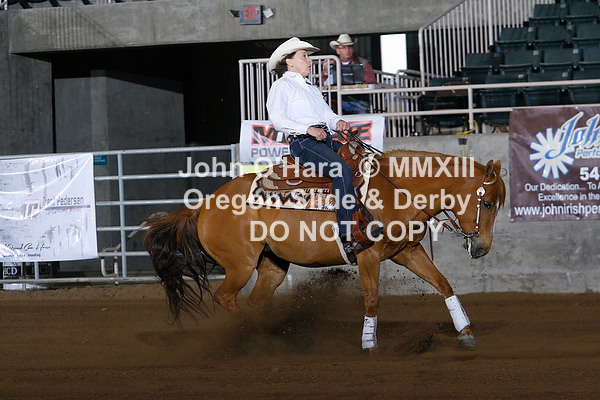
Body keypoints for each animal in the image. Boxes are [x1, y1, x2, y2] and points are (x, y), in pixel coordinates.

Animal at [144, 149, 506, 350]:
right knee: (225, 298)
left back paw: (274, 336)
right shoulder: (368, 255)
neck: (397, 188)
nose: (483, 249)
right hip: (240, 264)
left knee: (255, 300)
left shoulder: (408, 251)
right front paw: (369, 343)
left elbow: (444, 284)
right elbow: (371, 299)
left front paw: (466, 333)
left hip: (272, 265)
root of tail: (203, 206)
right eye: (487, 203)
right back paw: (260, 337)